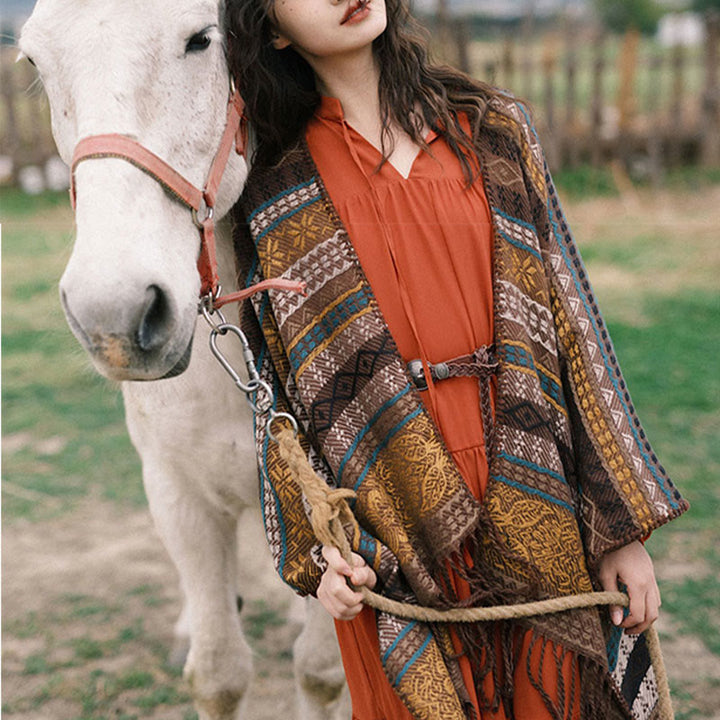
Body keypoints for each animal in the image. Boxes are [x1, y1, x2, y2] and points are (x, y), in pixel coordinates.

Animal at [18, 2, 350, 716]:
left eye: (201, 40)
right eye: (35, 60)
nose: (112, 315)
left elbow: (319, 669)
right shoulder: (177, 494)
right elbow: (218, 672)